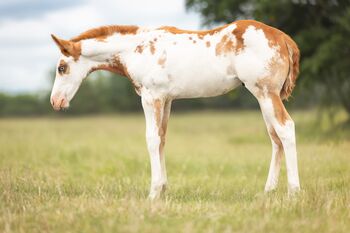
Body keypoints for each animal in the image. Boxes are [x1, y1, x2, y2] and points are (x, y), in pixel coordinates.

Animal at [50, 19, 300, 200]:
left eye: (62, 68)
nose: (55, 101)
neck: (137, 49)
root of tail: (284, 38)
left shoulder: (151, 97)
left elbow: (151, 139)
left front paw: (152, 193)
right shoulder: (166, 99)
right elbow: (162, 139)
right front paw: (163, 189)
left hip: (266, 94)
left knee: (286, 129)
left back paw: (293, 192)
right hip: (264, 97)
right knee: (275, 138)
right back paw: (268, 191)